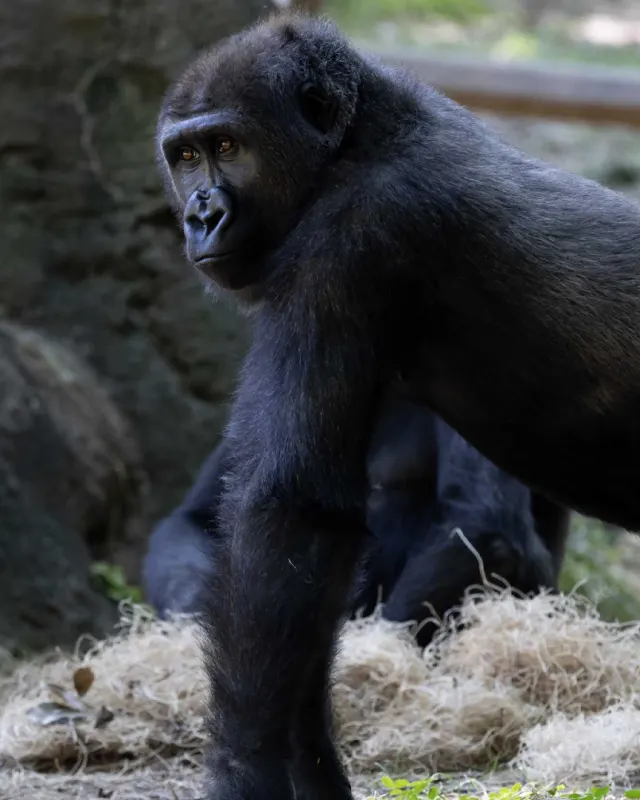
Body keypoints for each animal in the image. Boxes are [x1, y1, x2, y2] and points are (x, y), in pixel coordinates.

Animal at [156, 13, 640, 799]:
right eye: (186, 156)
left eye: (227, 147)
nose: (201, 215)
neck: (357, 136)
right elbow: (316, 553)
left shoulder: (348, 241)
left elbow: (289, 510)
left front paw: (245, 767)